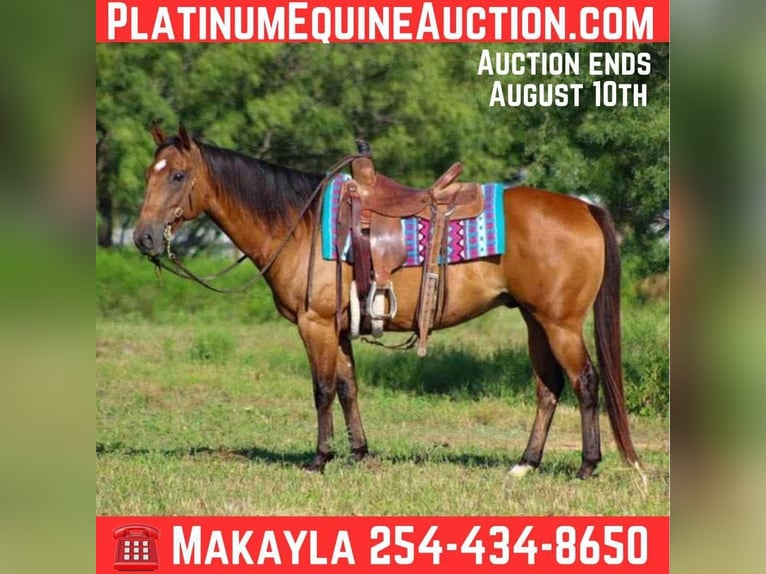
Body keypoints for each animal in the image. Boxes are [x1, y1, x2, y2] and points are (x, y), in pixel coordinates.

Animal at [134, 124, 643, 480]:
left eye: (178, 175)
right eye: (148, 175)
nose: (143, 238)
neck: (297, 225)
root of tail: (584, 208)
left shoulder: (314, 324)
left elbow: (322, 389)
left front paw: (319, 459)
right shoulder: (338, 328)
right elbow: (348, 387)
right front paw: (359, 453)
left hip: (561, 324)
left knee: (586, 383)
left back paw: (586, 466)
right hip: (536, 322)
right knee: (548, 388)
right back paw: (526, 463)